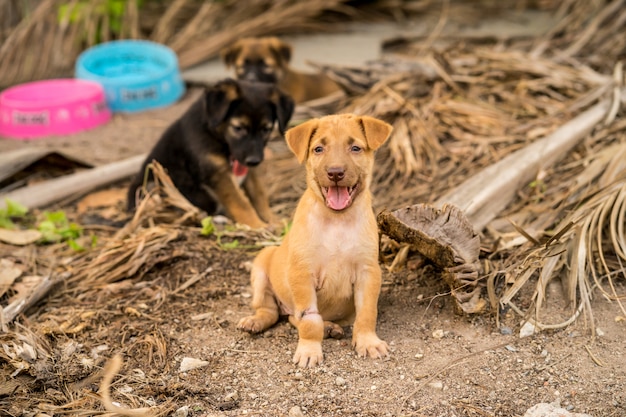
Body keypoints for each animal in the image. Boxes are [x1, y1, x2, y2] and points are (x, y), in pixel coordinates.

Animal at [128, 78, 294, 228]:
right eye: (238, 128)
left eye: (266, 129)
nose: (254, 161)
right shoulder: (218, 174)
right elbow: (241, 203)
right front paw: (257, 225)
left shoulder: (247, 168)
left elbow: (259, 195)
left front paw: (273, 220)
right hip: (153, 188)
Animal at [238, 112, 390, 366]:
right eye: (318, 149)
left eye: (355, 148)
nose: (335, 173)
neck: (337, 221)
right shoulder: (302, 274)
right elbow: (309, 319)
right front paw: (309, 350)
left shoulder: (368, 272)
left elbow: (367, 312)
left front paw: (368, 342)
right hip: (261, 267)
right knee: (272, 311)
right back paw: (255, 321)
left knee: (292, 318)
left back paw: (329, 327)